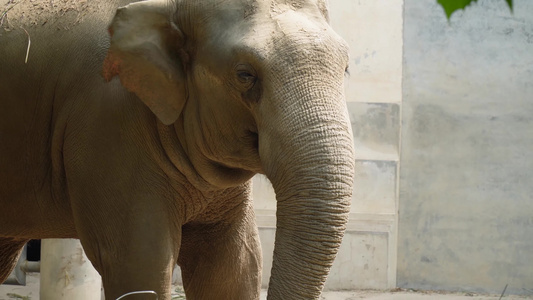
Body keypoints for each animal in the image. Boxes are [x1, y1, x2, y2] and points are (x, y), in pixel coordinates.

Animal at [2, 0, 356, 298]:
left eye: (346, 69)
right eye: (245, 75)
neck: (168, 7)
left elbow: (232, 268)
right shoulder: (106, 129)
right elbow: (139, 263)